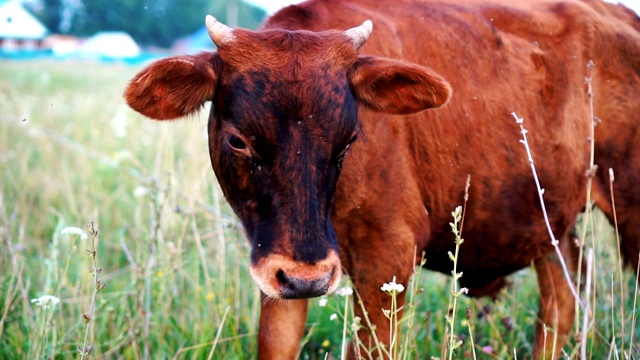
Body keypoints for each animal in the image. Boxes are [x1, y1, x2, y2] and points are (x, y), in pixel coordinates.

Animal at [125, 0, 640, 358]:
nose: (308, 277)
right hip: (549, 219)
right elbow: (276, 342)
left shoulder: (386, 260)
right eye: (238, 141)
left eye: (350, 138)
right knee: (563, 298)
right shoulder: (276, 266)